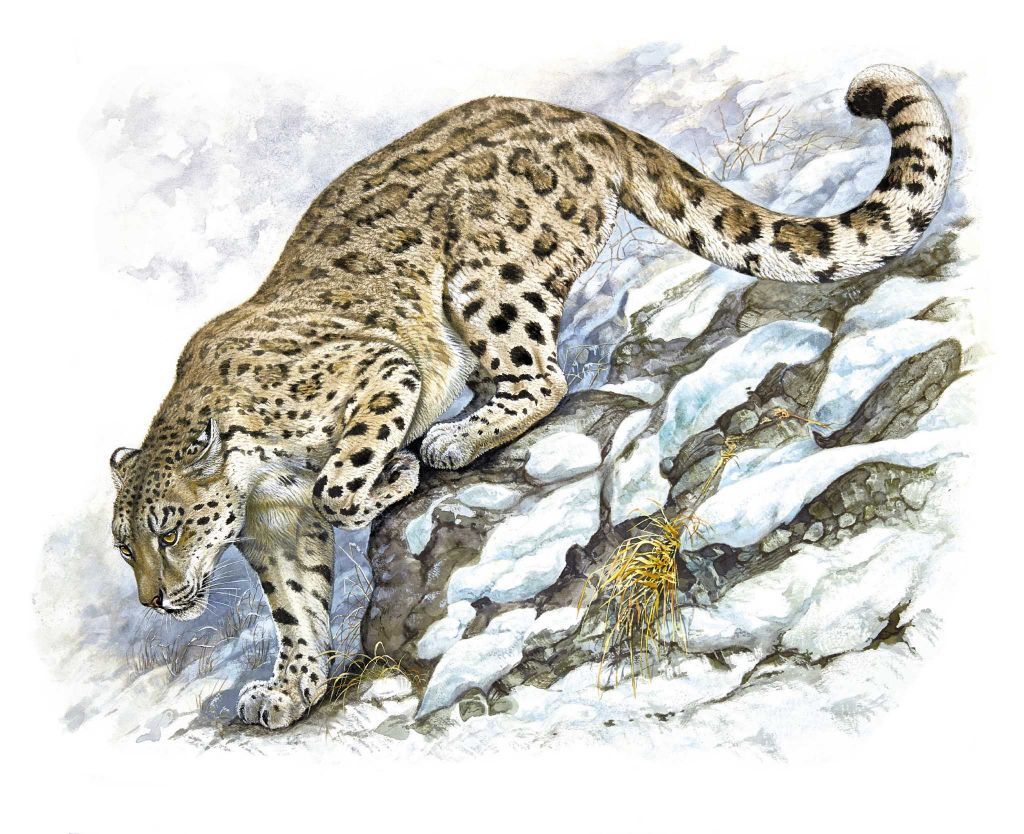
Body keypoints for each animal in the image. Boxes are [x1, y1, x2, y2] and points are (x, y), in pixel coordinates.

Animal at [109, 64, 951, 728]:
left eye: (168, 527)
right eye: (126, 544)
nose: (153, 599)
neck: (261, 488)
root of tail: (573, 114)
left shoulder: (381, 374)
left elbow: (339, 484)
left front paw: (397, 473)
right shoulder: (276, 534)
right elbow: (296, 607)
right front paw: (291, 691)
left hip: (492, 281)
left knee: (542, 376)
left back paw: (455, 436)